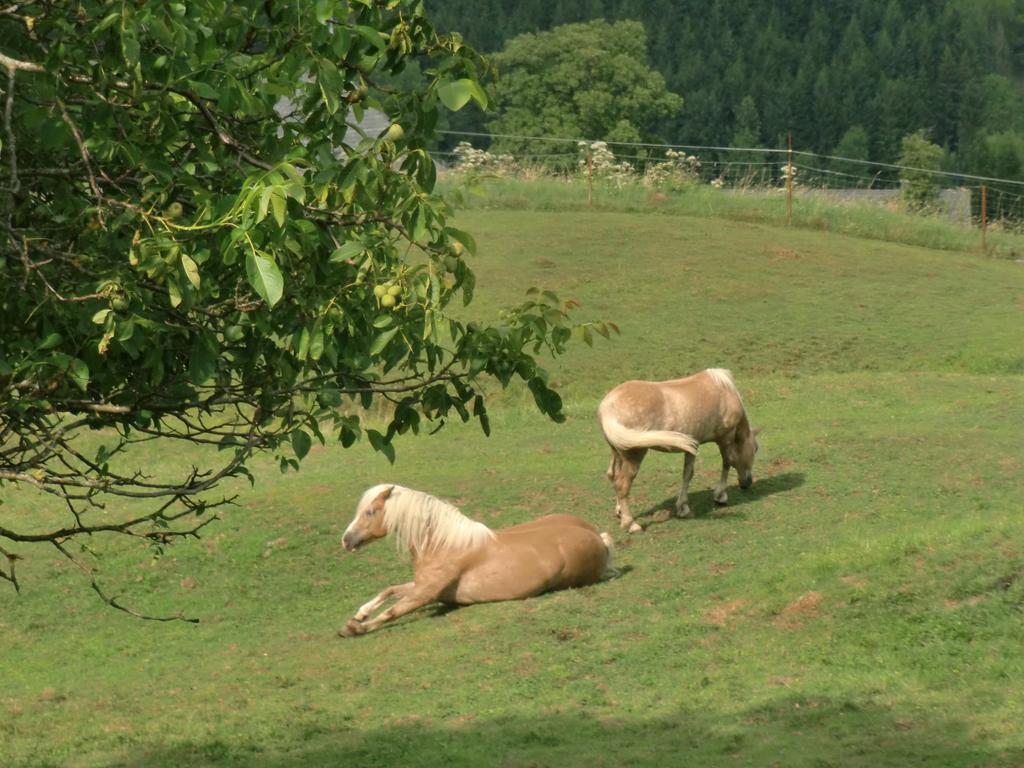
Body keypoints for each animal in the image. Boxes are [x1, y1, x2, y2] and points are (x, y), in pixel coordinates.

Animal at [335, 487, 614, 638]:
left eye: (370, 512)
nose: (346, 540)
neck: (443, 544)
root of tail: (597, 537)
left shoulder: (425, 594)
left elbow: (393, 611)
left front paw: (353, 628)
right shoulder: (421, 586)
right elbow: (390, 590)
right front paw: (360, 613)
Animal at [598, 370, 757, 532]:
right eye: (755, 450)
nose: (748, 482)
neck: (724, 390)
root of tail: (608, 405)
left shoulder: (693, 446)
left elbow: (687, 474)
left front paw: (683, 508)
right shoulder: (726, 439)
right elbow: (726, 464)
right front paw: (720, 496)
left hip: (616, 452)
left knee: (613, 476)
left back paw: (619, 511)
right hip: (634, 456)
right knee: (622, 485)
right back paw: (631, 524)